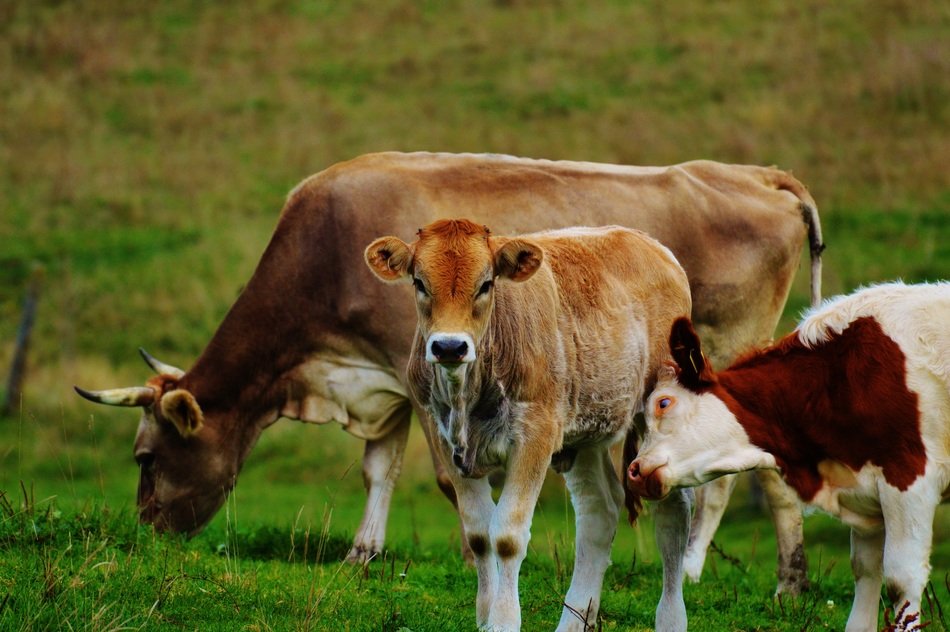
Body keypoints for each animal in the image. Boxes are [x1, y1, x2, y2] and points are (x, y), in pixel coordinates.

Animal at [76, 148, 820, 588]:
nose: (145, 531)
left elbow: (440, 476)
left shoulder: (423, 376)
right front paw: (363, 552)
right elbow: (379, 469)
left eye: (145, 457)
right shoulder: (385, 378)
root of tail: (756, 173)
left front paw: (471, 553)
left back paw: (741, 574)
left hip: (727, 353)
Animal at [632, 282, 950, 632]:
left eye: (663, 403)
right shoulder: (866, 497)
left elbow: (900, 579)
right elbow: (866, 571)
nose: (634, 469)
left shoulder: (909, 477)